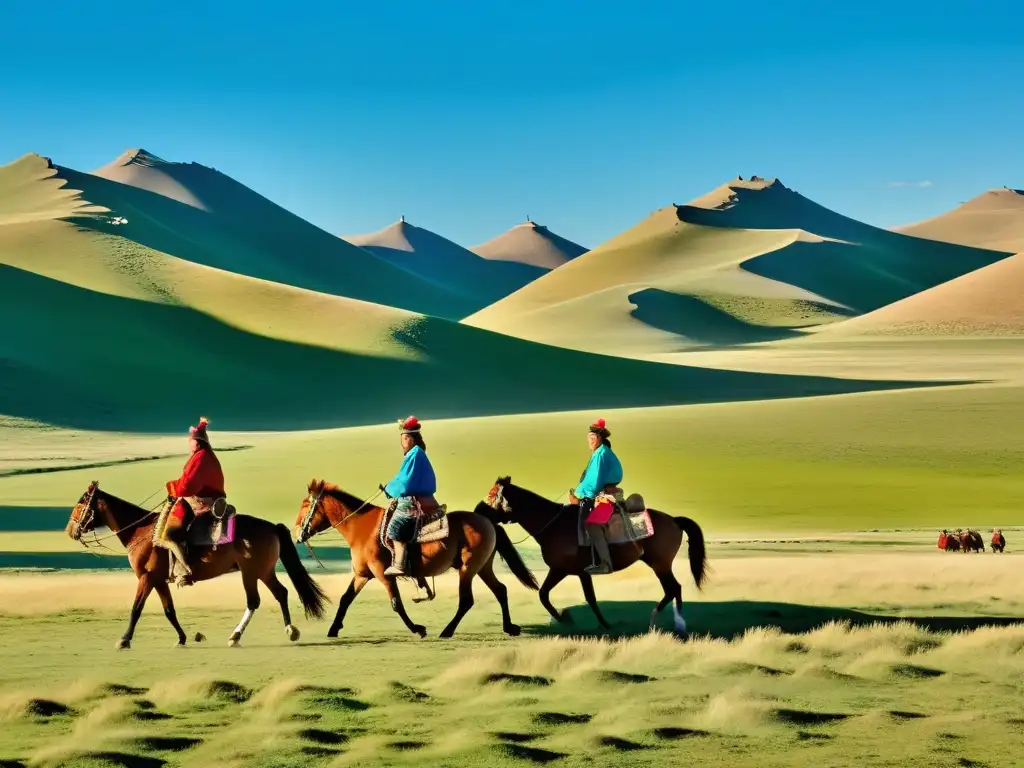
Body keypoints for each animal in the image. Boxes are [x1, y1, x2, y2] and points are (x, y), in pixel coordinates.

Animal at [67, 481, 327, 651]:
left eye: (81, 504)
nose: (70, 530)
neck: (139, 532)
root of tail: (272, 526)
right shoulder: (159, 580)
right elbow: (169, 610)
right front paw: (182, 638)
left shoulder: (146, 577)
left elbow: (136, 609)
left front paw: (124, 640)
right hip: (263, 571)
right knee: (281, 592)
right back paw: (290, 630)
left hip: (251, 572)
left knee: (254, 601)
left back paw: (236, 636)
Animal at [294, 483, 540, 638]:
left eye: (305, 505)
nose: (297, 532)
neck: (361, 527)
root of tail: (487, 521)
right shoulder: (362, 575)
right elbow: (346, 599)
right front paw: (333, 629)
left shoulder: (383, 575)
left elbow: (396, 604)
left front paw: (417, 629)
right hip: (482, 567)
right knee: (500, 590)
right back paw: (509, 627)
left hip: (468, 568)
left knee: (467, 600)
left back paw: (447, 631)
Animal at [477, 479, 704, 638]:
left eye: (491, 495)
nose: (478, 510)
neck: (552, 525)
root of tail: (674, 520)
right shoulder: (563, 570)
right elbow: (546, 594)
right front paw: (567, 618)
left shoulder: (573, 571)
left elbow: (586, 598)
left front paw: (586, 621)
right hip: (659, 564)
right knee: (673, 588)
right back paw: (669, 623)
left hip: (659, 564)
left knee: (673, 588)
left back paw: (664, 622)